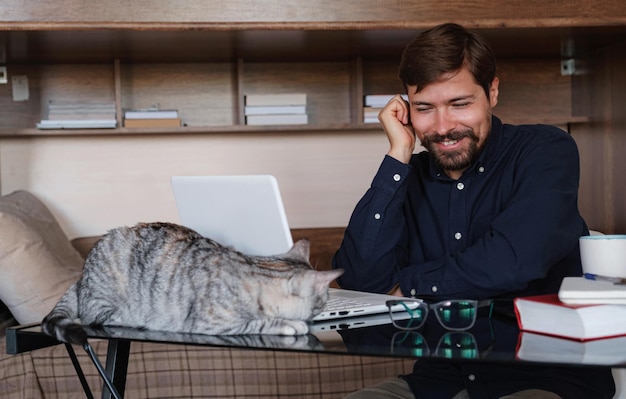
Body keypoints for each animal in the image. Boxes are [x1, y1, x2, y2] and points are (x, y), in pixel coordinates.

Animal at [42, 222, 342, 346]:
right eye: (323, 300)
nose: (324, 305)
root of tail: (80, 279)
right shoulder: (208, 322)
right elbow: (258, 322)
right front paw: (290, 324)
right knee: (96, 317)